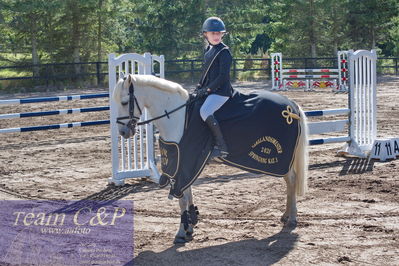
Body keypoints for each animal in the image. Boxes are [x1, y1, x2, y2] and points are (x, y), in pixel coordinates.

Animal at [112, 74, 310, 244]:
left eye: (124, 102)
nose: (123, 132)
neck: (177, 117)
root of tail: (291, 106)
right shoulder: (184, 163)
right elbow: (188, 194)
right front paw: (190, 226)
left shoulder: (185, 162)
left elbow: (182, 198)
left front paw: (182, 232)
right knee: (289, 181)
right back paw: (286, 215)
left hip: (282, 160)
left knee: (292, 179)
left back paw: (292, 218)